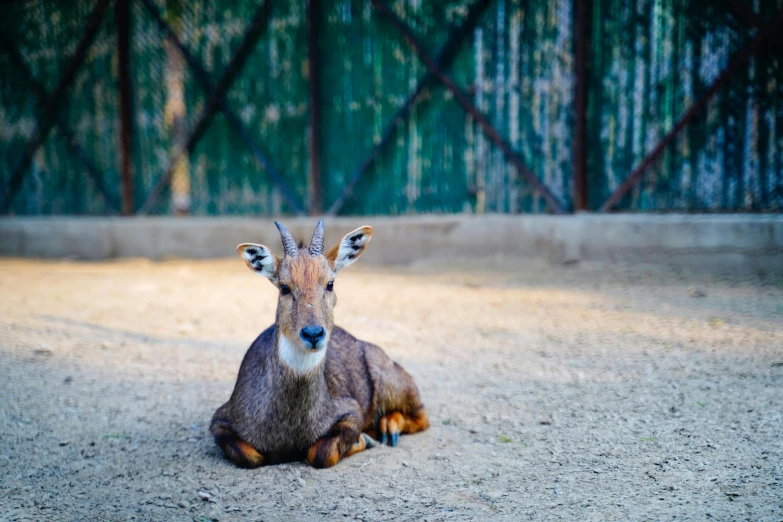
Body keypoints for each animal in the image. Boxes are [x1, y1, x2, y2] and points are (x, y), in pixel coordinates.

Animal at [210, 218, 428, 468]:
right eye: (284, 287)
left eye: (330, 283)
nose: (313, 333)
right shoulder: (221, 420)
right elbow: (250, 457)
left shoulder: (351, 411)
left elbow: (321, 453)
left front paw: (362, 440)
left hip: (391, 381)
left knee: (422, 415)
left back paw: (388, 429)